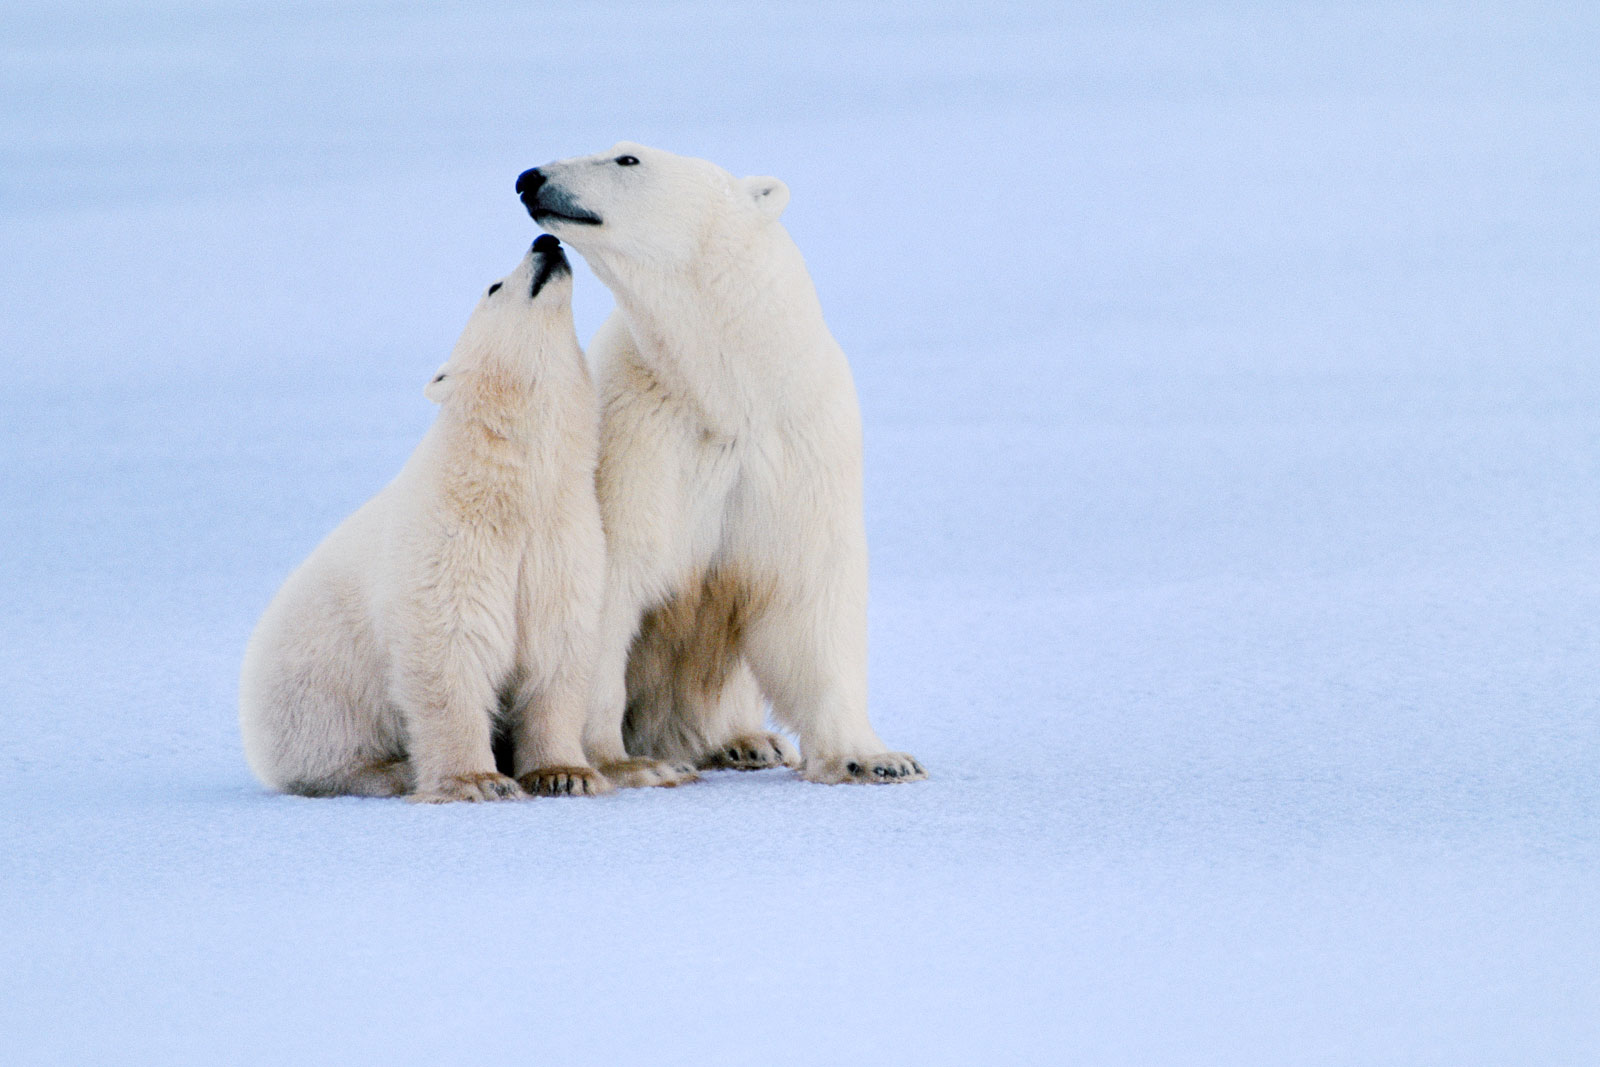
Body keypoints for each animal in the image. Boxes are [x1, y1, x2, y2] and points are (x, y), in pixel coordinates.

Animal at [240, 235, 608, 799]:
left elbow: (557, 648)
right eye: (494, 286)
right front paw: (477, 780)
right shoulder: (448, 545)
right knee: (329, 745)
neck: (512, 491)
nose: (546, 241)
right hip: (314, 686)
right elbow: (448, 651)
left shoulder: (562, 542)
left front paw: (565, 773)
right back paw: (389, 771)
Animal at [518, 141, 928, 783]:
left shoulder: (798, 446)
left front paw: (877, 759)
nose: (529, 178)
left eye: (627, 158)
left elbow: (810, 592)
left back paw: (747, 741)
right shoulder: (640, 443)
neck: (727, 394)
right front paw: (626, 763)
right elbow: (610, 585)